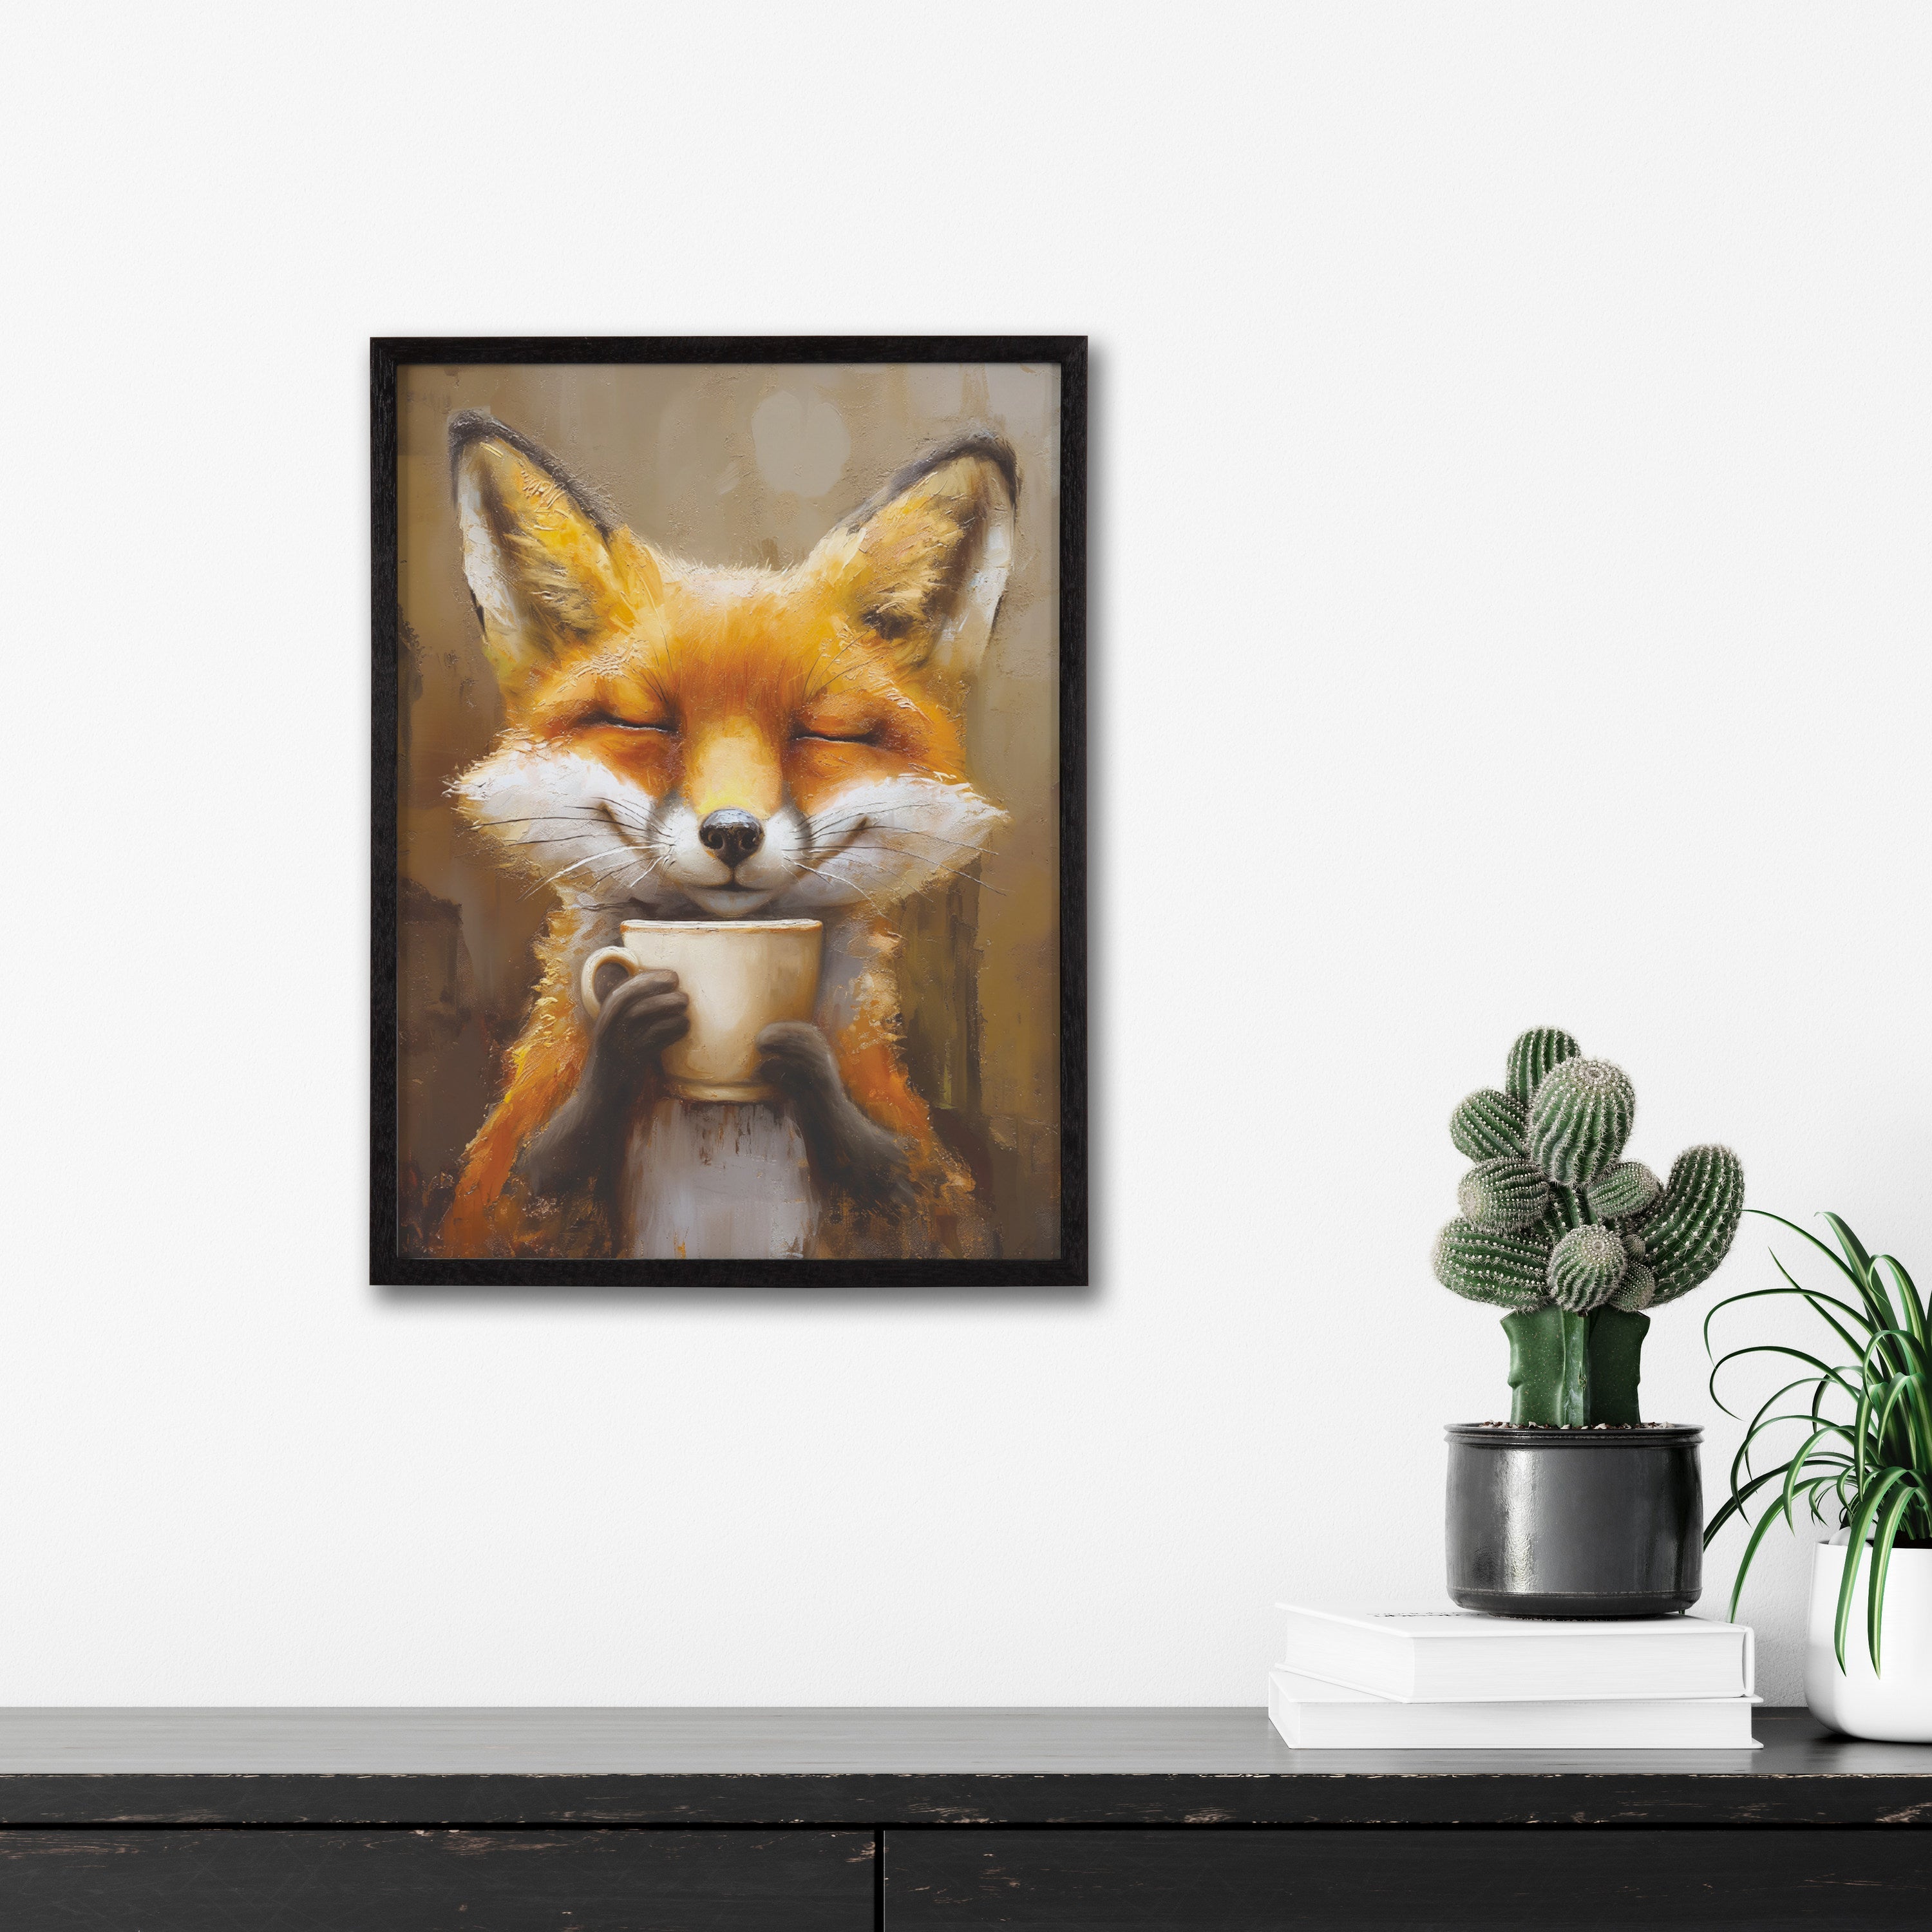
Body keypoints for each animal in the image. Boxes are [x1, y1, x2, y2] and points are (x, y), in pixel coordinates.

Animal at [434, 410, 1017, 1261]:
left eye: (822, 732)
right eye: (645, 724)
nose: (733, 833)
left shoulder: (928, 1202)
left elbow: (903, 1187)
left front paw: (805, 1061)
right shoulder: (497, 1202)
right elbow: (530, 1186)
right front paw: (624, 1038)